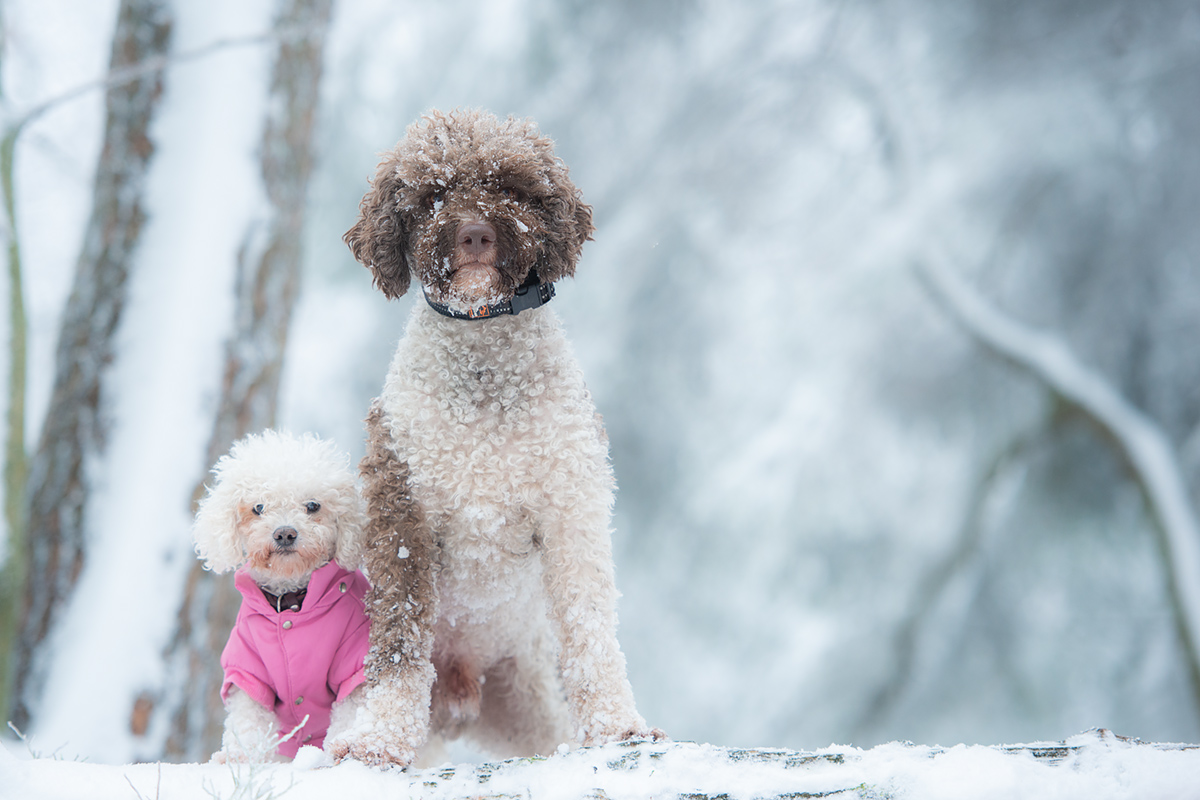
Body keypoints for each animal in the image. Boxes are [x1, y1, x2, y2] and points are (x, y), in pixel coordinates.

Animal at [194, 431, 369, 762]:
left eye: (313, 505)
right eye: (258, 507)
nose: (285, 533)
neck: (291, 603)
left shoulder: (354, 662)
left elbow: (350, 710)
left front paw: (341, 747)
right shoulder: (247, 671)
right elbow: (247, 721)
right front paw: (238, 758)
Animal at [328, 109, 662, 767]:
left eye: (509, 187)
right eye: (430, 196)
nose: (476, 235)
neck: (484, 372)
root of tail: (463, 690)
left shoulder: (571, 505)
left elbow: (589, 626)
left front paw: (617, 727)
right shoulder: (403, 512)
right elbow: (400, 639)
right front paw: (379, 741)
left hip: (524, 698)